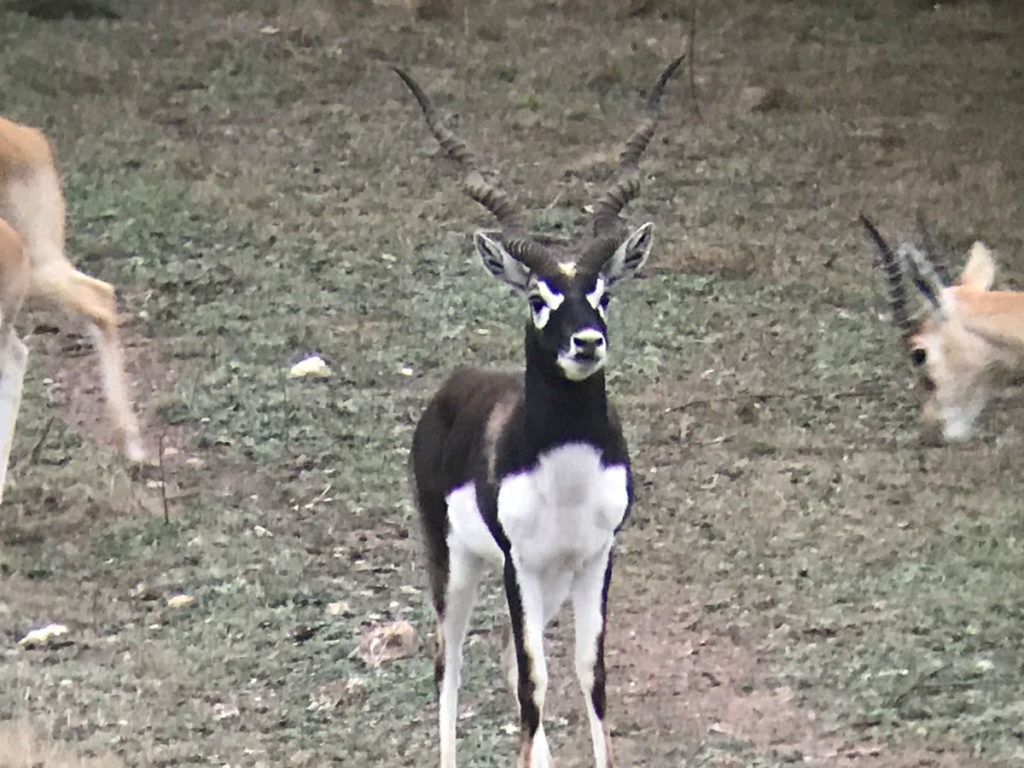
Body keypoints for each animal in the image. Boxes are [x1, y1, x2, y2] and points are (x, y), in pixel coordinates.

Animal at [397, 58, 679, 768]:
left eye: (602, 293)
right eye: (537, 297)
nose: (586, 342)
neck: (567, 475)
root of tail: (456, 384)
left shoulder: (595, 558)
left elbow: (588, 675)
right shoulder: (519, 565)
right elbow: (535, 681)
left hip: (548, 582)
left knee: (504, 659)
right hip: (458, 563)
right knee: (450, 663)